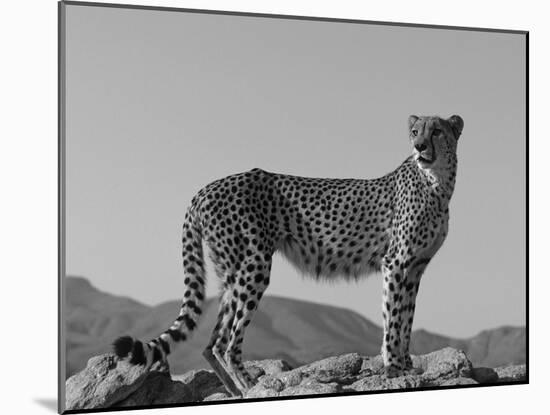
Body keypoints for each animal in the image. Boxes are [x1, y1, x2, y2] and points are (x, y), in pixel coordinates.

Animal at [115, 114, 466, 396]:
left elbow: (406, 317)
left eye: (437, 131)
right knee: (227, 343)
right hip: (253, 265)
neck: (437, 183)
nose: (419, 146)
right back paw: (249, 386)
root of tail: (206, 188)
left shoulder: (415, 268)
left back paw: (234, 391)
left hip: (230, 272)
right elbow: (393, 318)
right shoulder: (396, 264)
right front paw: (393, 367)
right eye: (415, 131)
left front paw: (406, 364)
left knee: (212, 342)